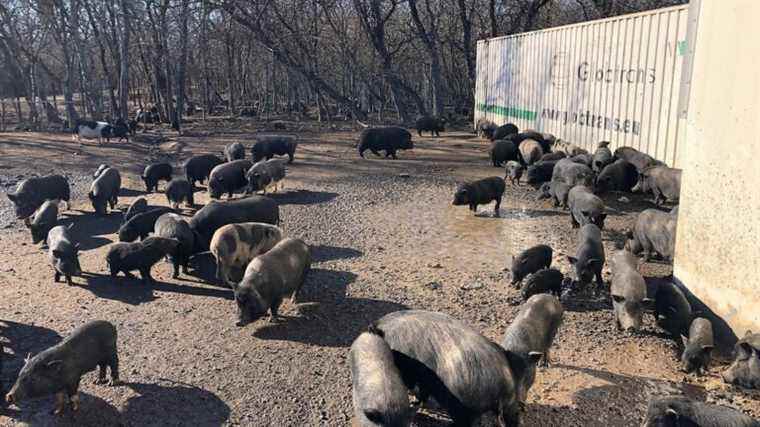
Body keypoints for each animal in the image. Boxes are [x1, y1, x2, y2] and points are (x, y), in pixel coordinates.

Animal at [372, 310, 524, 427]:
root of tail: (505, 382)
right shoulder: (425, 377)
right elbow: (423, 391)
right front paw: (417, 402)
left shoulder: (410, 370)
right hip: (509, 407)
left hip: (462, 405)